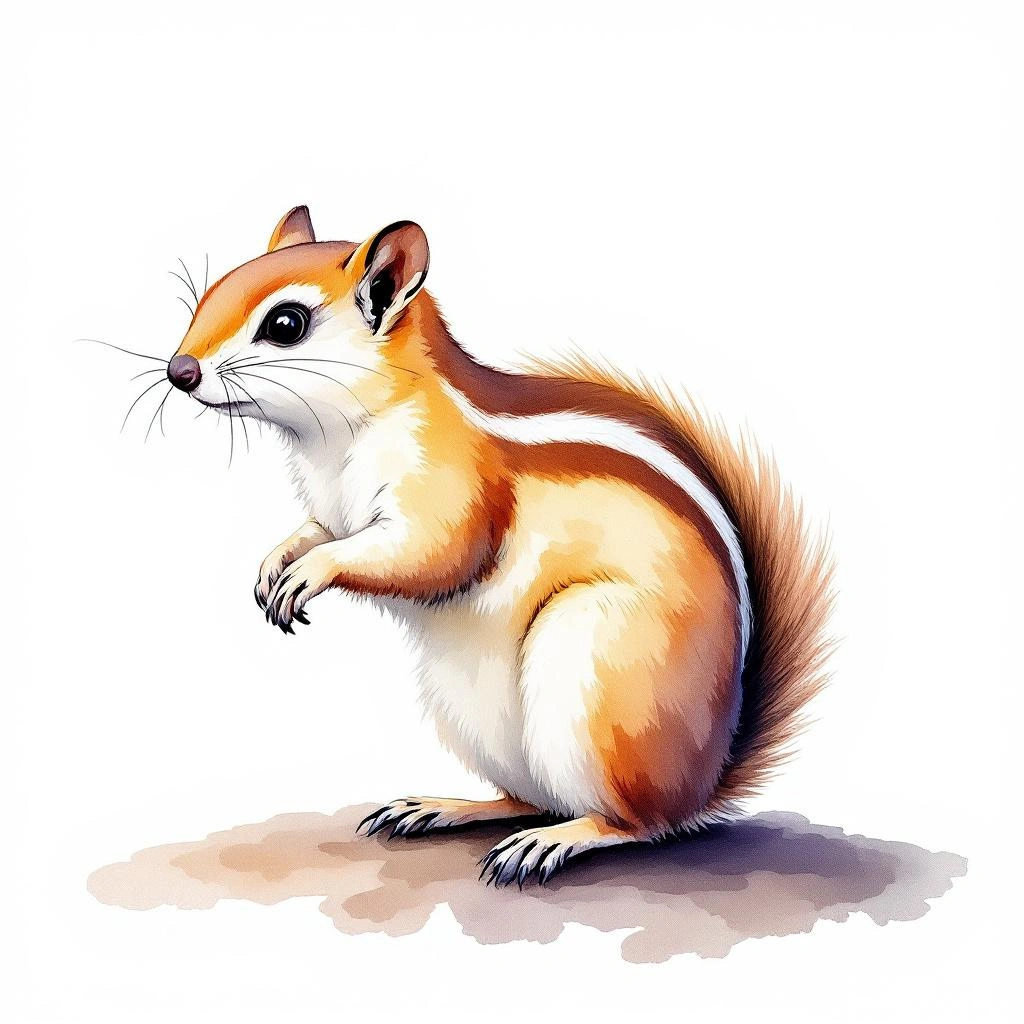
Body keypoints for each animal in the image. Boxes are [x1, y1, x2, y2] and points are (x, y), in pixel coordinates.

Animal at [163, 206, 834, 888]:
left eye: (285, 324)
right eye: (210, 293)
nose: (179, 371)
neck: (340, 434)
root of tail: (707, 777)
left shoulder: (447, 487)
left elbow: (430, 554)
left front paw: (312, 572)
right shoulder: (333, 508)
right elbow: (315, 529)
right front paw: (274, 561)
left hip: (594, 663)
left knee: (636, 822)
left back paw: (554, 841)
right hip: (471, 712)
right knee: (529, 797)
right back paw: (444, 808)